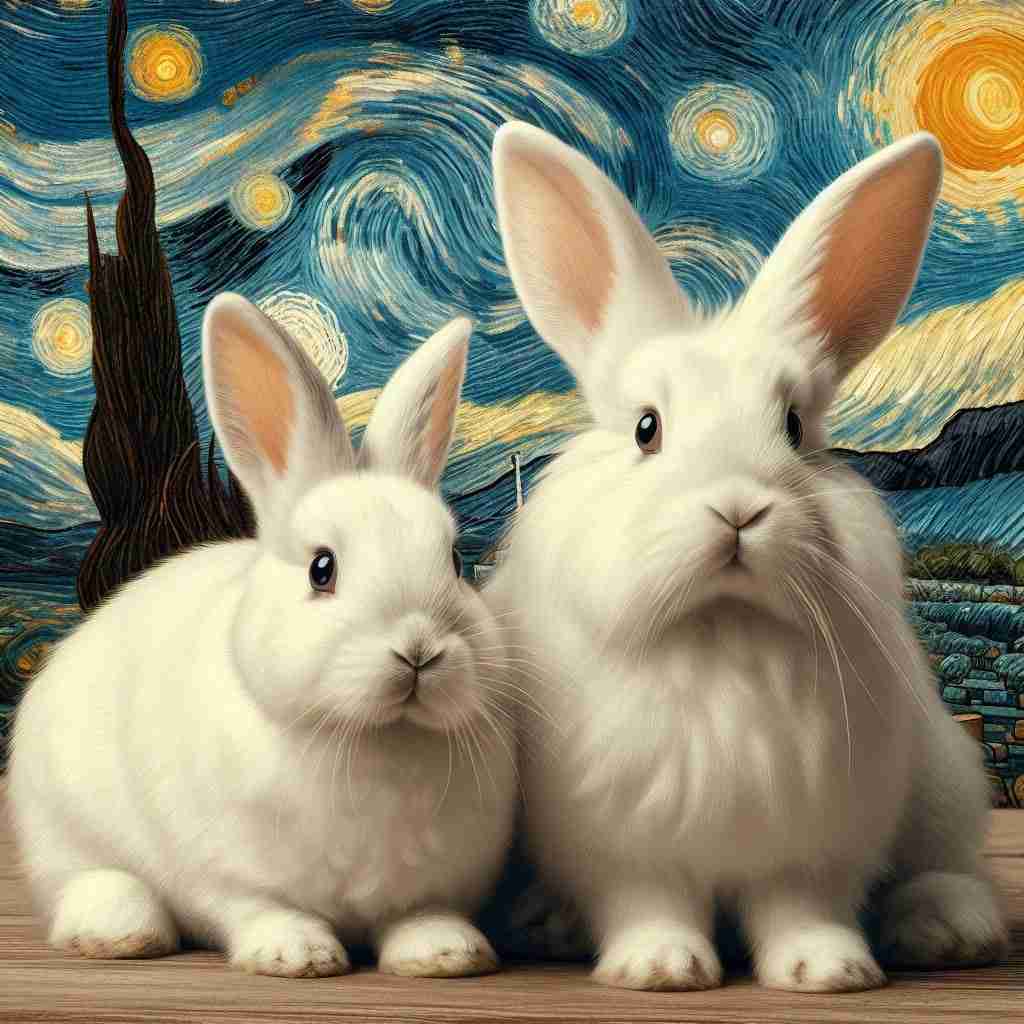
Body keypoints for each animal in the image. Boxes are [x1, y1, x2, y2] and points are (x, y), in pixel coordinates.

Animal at [8, 293, 518, 979]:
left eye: (456, 562)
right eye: (322, 569)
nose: (419, 649)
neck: (371, 739)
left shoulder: (432, 882)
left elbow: (419, 914)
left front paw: (445, 953)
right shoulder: (227, 871)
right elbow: (259, 908)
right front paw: (297, 954)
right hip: (64, 825)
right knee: (86, 880)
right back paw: (119, 932)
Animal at [484, 121, 1008, 993]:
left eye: (794, 427)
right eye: (647, 428)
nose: (737, 510)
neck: (720, 633)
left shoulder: (814, 836)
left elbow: (801, 907)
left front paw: (828, 969)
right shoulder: (623, 843)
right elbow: (649, 901)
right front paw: (660, 966)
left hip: (940, 782)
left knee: (943, 864)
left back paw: (947, 927)